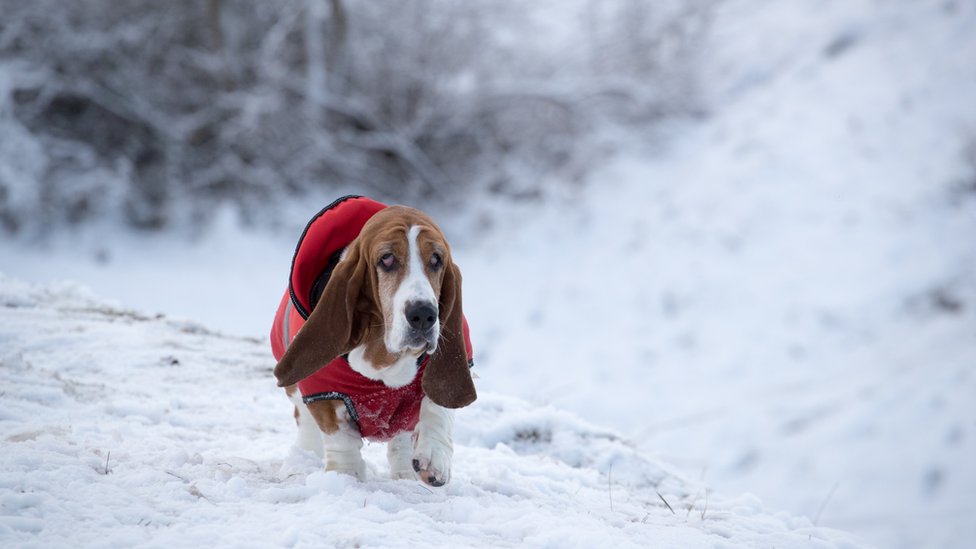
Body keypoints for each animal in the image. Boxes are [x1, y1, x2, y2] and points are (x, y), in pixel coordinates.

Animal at [270, 196, 476, 484]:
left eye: (436, 260)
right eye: (387, 259)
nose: (423, 314)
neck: (384, 355)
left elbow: (438, 406)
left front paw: (433, 458)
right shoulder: (323, 391)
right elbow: (339, 437)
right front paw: (344, 477)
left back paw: (405, 473)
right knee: (305, 420)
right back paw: (302, 459)